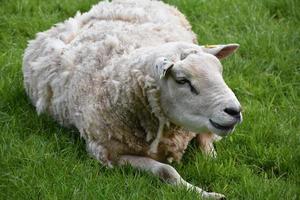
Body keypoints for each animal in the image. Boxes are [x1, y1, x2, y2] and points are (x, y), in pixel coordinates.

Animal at [22, 0, 243, 198]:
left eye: (220, 71)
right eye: (182, 80)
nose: (235, 111)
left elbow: (207, 144)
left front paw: (214, 166)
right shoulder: (109, 154)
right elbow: (166, 171)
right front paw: (203, 193)